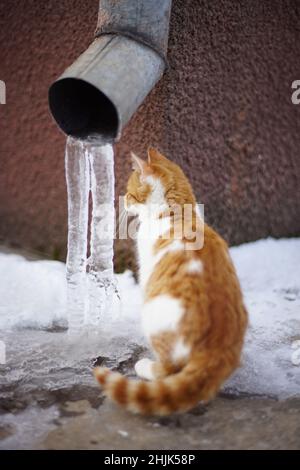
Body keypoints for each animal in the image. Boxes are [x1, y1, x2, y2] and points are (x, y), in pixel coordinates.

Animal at [94, 147, 248, 414]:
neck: (177, 212)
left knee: (167, 370)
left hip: (154, 313)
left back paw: (146, 366)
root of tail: (215, 351)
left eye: (130, 192)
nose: (124, 201)